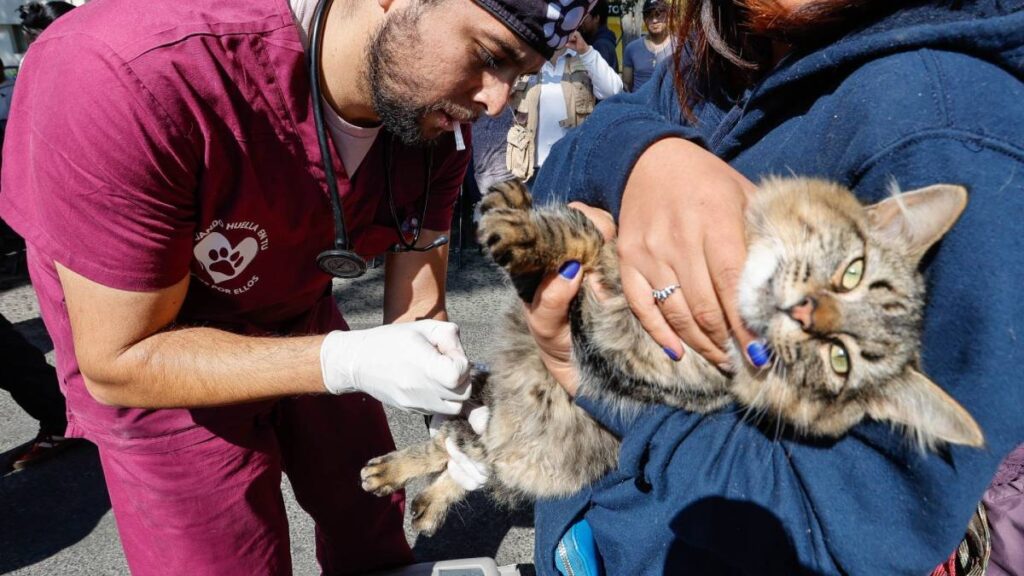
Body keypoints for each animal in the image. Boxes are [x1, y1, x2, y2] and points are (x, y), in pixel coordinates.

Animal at [358, 176, 983, 532]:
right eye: (852, 273)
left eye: (839, 360)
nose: (808, 313)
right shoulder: (614, 249)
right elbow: (579, 233)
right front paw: (516, 216)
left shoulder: (611, 359)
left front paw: (518, 234)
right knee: (446, 441)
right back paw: (393, 474)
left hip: (507, 458)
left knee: (462, 461)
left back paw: (417, 498)